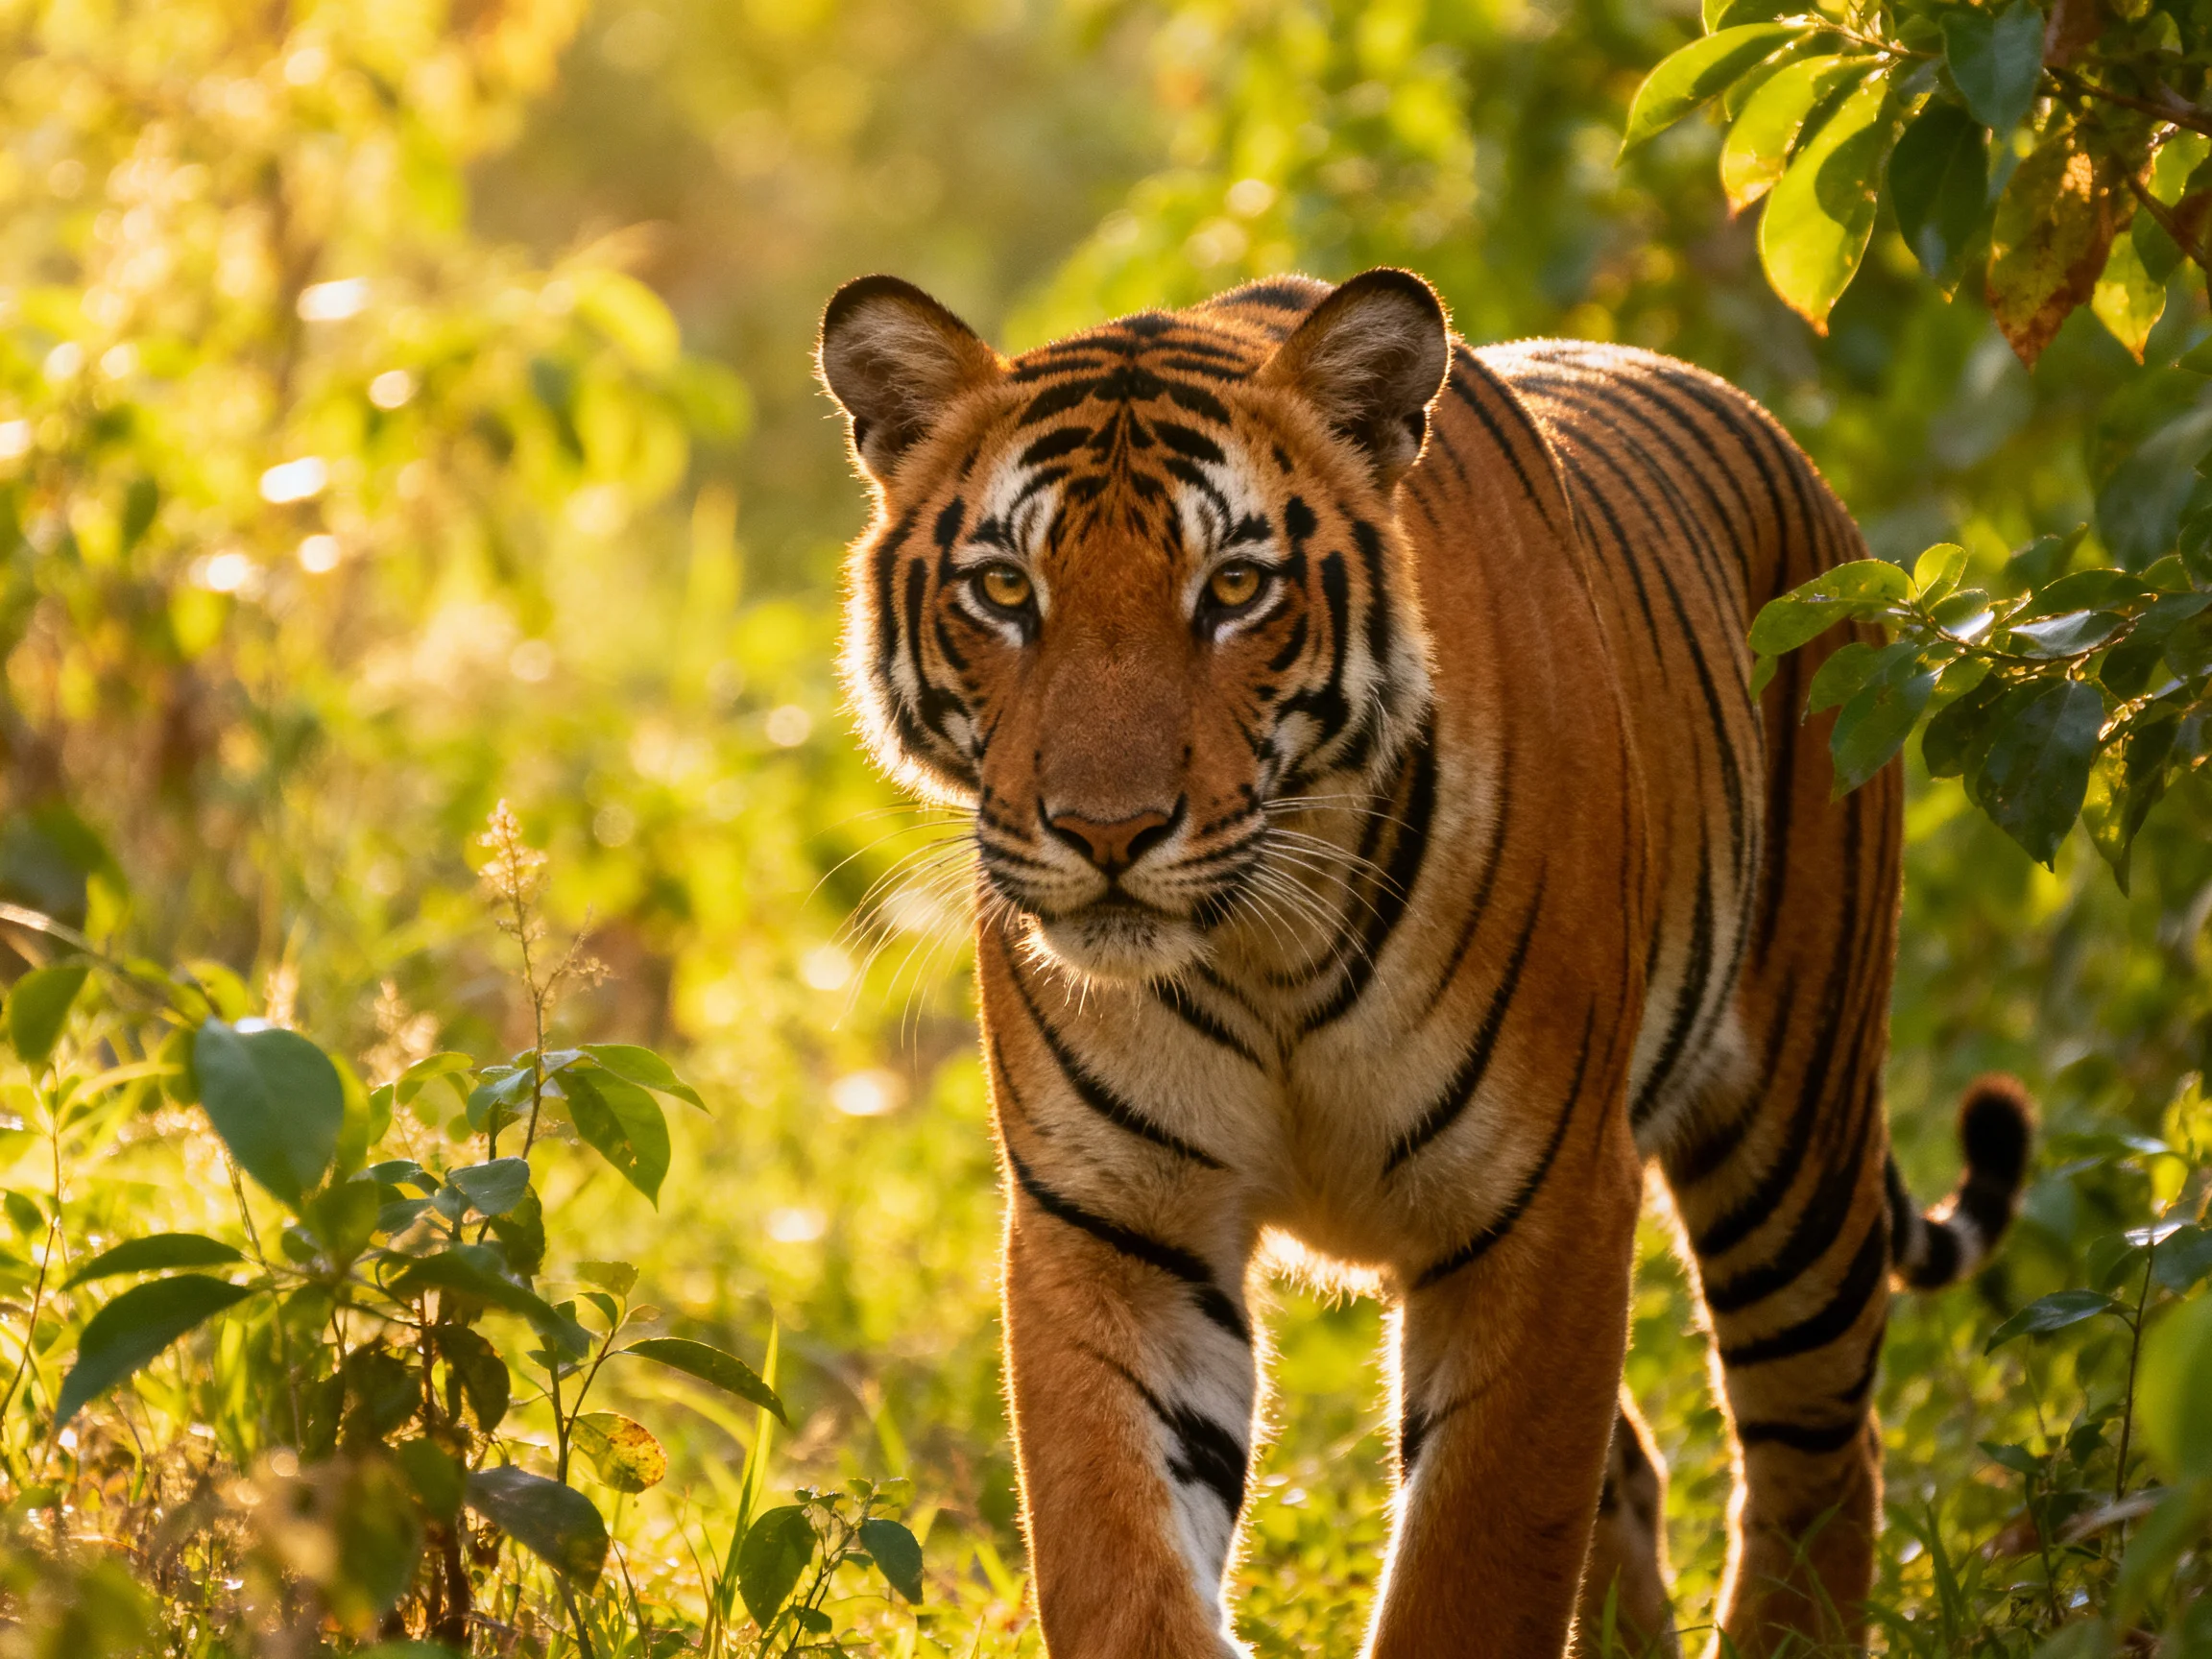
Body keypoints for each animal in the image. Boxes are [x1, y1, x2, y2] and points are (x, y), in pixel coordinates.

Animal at [816, 267, 2034, 1658]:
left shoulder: (1544, 1205)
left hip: (1796, 1144)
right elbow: (1119, 1568)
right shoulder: (1113, 1221)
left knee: (1818, 1459)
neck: (1265, 950)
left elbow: (1477, 1566)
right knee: (1637, 1468)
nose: (1106, 832)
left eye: (1235, 589)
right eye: (1007, 593)